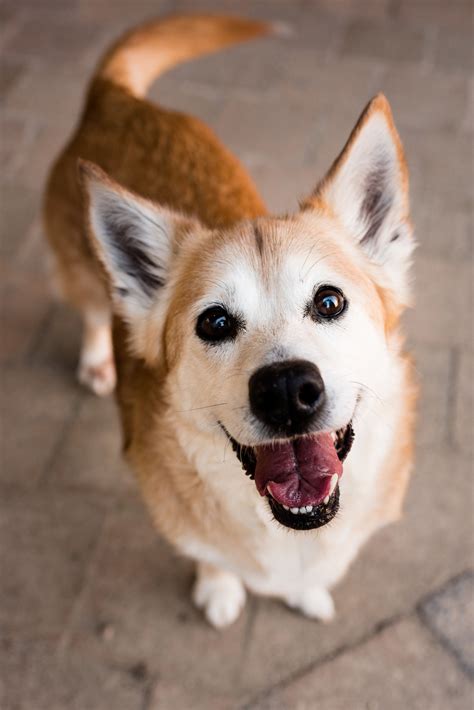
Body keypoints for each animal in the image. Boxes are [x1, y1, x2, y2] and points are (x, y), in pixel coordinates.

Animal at [43, 13, 414, 628]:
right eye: (214, 323)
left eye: (329, 302)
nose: (287, 390)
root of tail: (115, 95)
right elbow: (208, 555)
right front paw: (219, 589)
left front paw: (307, 591)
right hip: (81, 272)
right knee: (94, 312)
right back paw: (97, 361)